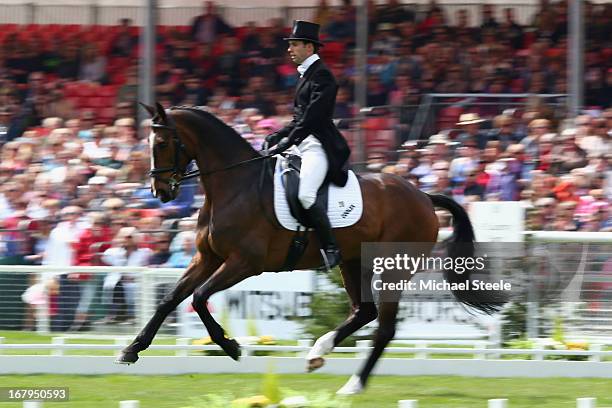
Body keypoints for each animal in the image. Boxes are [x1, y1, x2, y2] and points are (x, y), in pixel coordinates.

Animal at [117, 103, 504, 394]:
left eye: (162, 142)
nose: (160, 192)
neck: (235, 185)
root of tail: (422, 195)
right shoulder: (207, 257)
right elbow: (170, 300)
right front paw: (131, 349)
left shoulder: (244, 262)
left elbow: (198, 298)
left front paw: (232, 347)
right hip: (353, 262)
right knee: (364, 312)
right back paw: (318, 353)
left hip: (393, 268)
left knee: (384, 328)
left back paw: (353, 386)